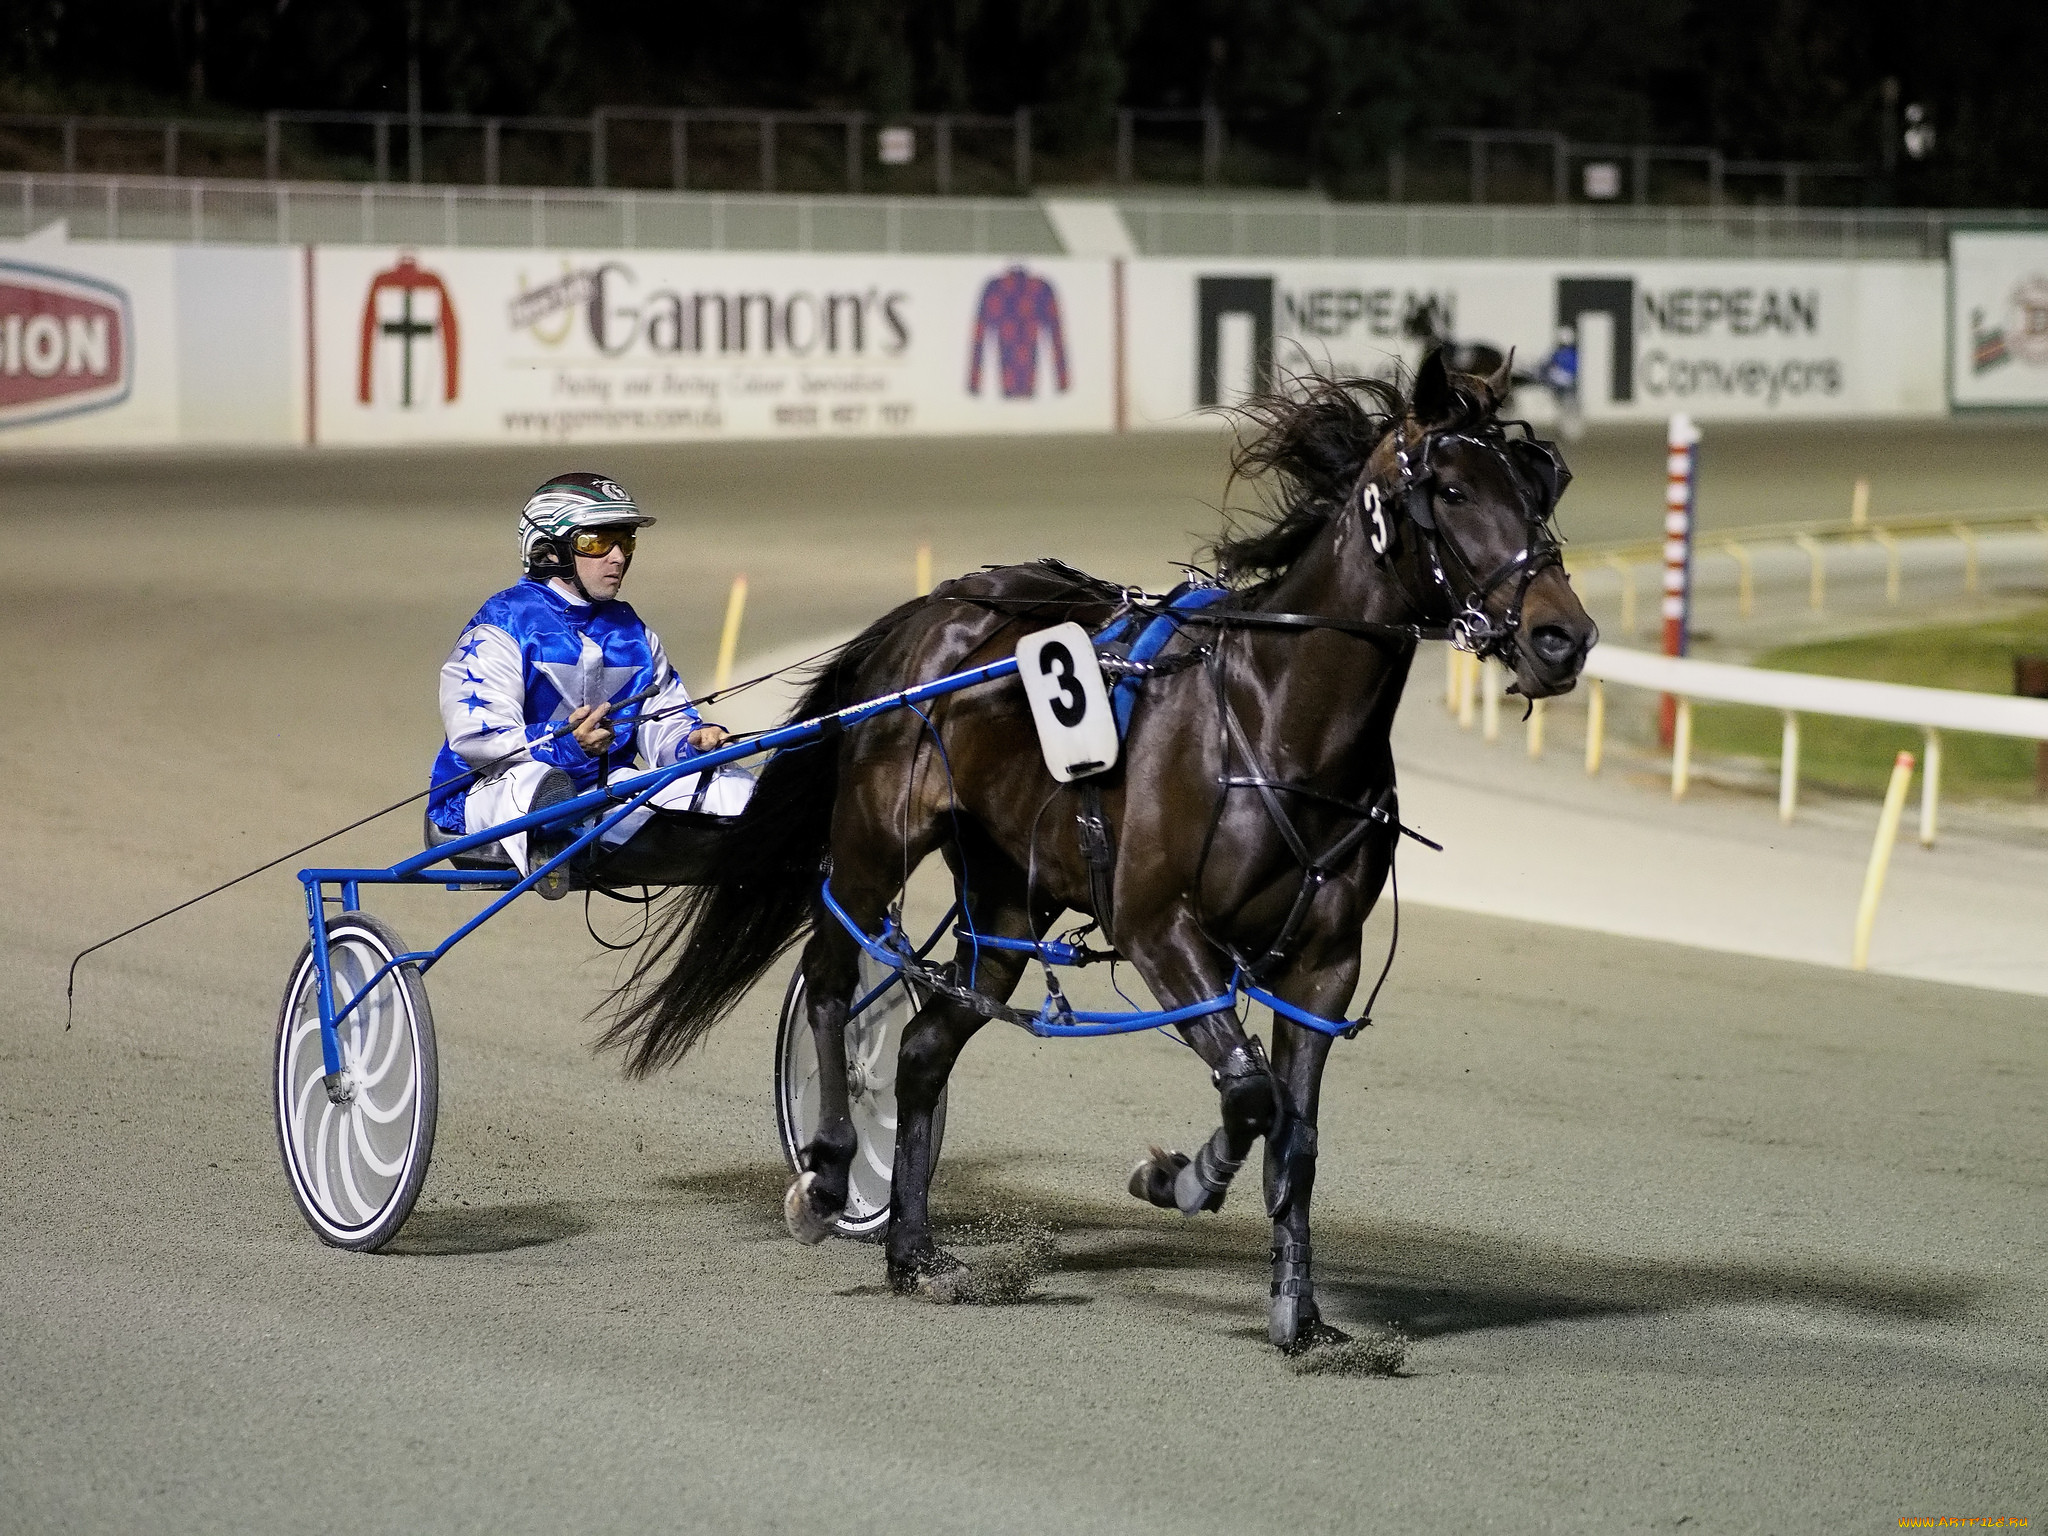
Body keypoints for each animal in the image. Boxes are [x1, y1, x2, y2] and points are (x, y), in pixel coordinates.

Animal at [602, 354, 1597, 1351]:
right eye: (1452, 490)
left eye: (1541, 484)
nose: (1566, 637)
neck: (1276, 721)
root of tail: (934, 609)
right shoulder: (1161, 929)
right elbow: (1250, 1095)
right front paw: (1177, 1177)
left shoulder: (1324, 964)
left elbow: (1298, 1138)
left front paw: (1301, 1313)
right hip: (874, 842)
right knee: (833, 981)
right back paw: (828, 1176)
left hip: (1007, 898)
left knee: (923, 1046)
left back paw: (915, 1252)